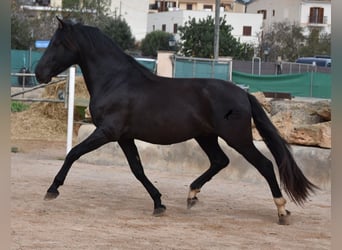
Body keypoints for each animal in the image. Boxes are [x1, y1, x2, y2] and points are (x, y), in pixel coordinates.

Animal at [35, 17, 318, 225]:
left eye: (57, 43)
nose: (39, 73)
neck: (116, 80)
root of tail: (243, 93)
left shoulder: (107, 132)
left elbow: (73, 153)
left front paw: (52, 189)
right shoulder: (125, 137)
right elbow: (137, 169)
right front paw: (159, 204)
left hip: (237, 138)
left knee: (265, 165)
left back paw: (282, 211)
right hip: (206, 136)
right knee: (220, 161)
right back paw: (192, 195)